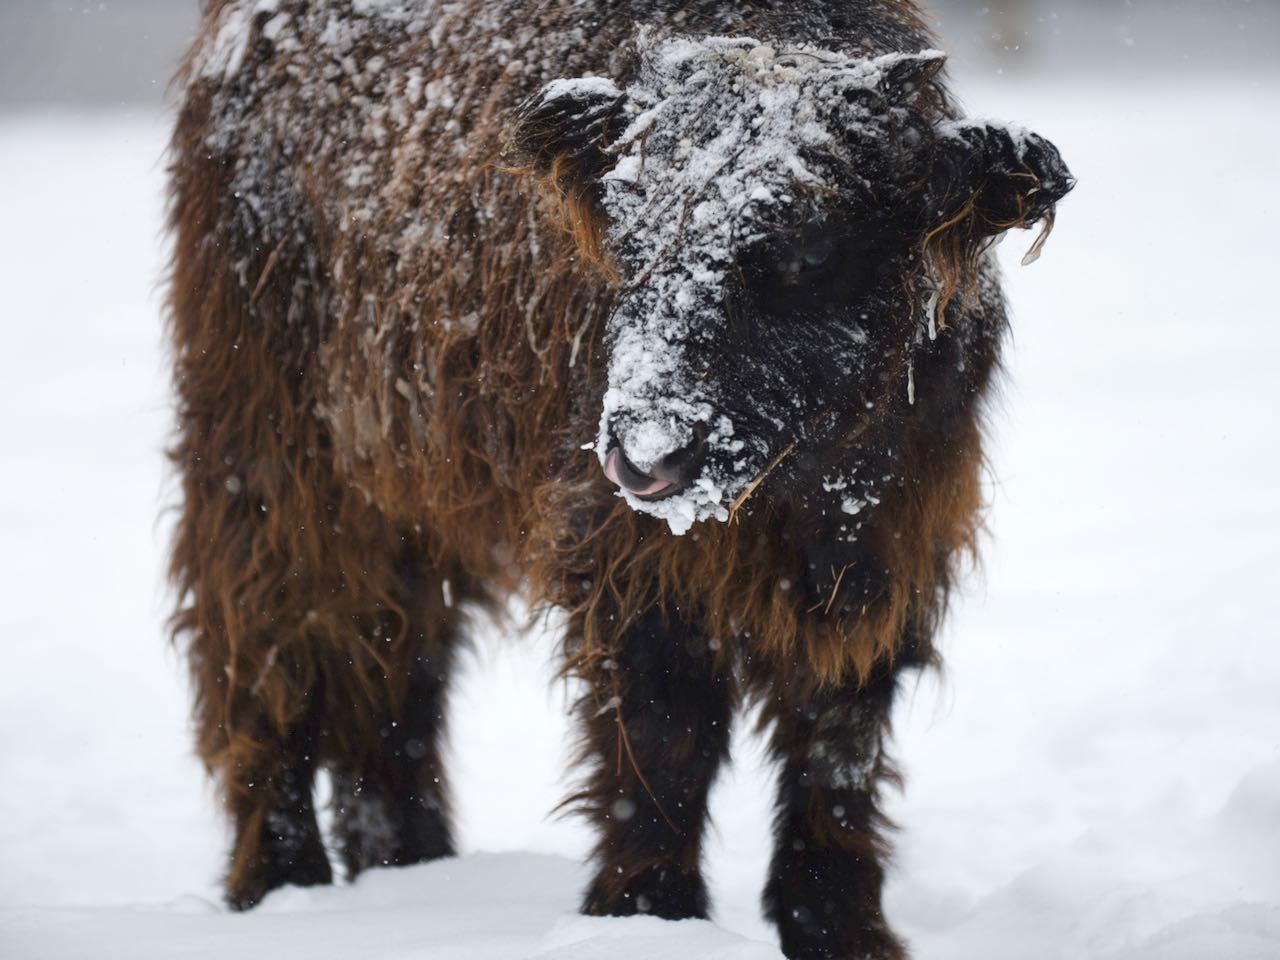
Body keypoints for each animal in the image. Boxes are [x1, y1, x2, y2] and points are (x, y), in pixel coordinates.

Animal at [170, 1, 1070, 957]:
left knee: (395, 669)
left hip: (409, 488)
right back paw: (279, 883)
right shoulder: (627, 555)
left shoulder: (884, 555)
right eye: (629, 240)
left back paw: (410, 870)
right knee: (268, 648)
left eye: (808, 254)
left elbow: (837, 744)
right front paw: (646, 912)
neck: (794, 500)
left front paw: (842, 929)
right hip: (270, 456)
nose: (646, 454)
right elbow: (663, 731)